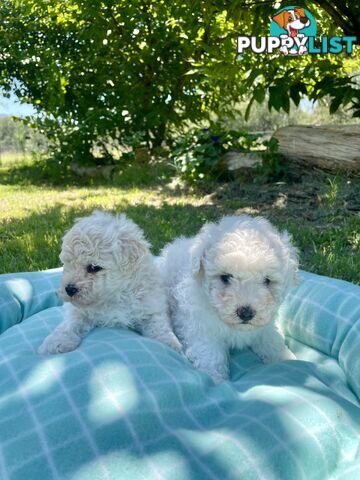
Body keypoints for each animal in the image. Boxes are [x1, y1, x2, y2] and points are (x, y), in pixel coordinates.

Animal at [38, 212, 181, 354]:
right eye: (67, 264)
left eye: (94, 268)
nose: (69, 289)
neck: (114, 297)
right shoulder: (79, 311)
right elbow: (69, 324)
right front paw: (56, 342)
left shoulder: (151, 307)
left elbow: (159, 326)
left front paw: (170, 343)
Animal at [158, 216, 298, 384]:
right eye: (225, 277)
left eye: (267, 280)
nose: (246, 313)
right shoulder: (201, 329)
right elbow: (210, 355)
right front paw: (216, 380)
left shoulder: (266, 326)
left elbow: (272, 342)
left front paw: (288, 359)